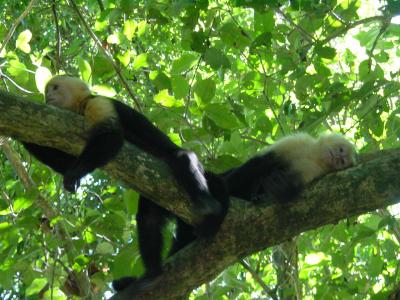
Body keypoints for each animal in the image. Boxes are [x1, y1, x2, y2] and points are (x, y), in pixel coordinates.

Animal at [21, 74, 223, 230]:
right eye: (47, 91)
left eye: (55, 88)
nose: (47, 95)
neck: (80, 106)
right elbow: (68, 159)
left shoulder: (97, 103)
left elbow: (112, 136)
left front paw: (74, 175)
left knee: (182, 158)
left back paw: (208, 205)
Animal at [111, 132, 356, 298]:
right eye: (342, 151)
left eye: (345, 161)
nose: (340, 160)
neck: (314, 158)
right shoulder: (297, 143)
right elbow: (258, 163)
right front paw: (231, 187)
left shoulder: (312, 174)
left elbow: (290, 191)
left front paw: (277, 188)